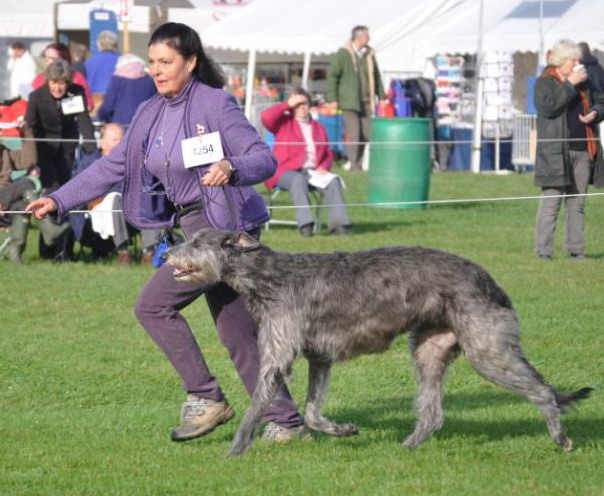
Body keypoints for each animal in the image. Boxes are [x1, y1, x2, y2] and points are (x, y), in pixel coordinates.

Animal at [164, 227, 588, 456]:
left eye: (197, 242)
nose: (167, 252)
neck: (268, 276)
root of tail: (489, 280)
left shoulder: (279, 353)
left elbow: (255, 407)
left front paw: (234, 451)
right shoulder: (320, 357)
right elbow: (313, 412)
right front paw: (344, 430)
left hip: (486, 348)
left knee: (541, 391)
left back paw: (561, 436)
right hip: (430, 348)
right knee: (433, 412)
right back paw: (407, 446)